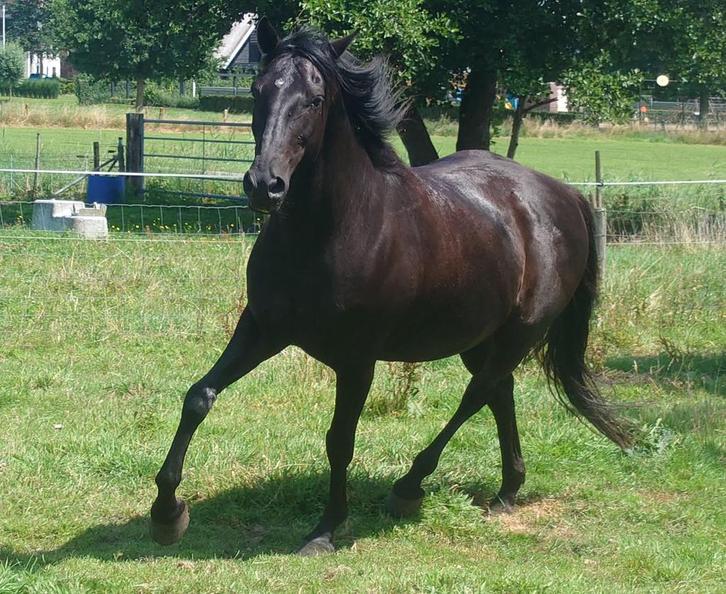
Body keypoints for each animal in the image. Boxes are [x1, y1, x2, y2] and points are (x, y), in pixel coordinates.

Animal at [149, 19, 632, 556]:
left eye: (315, 99)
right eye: (257, 90)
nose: (264, 186)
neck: (331, 231)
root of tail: (562, 195)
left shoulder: (357, 359)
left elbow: (340, 439)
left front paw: (325, 529)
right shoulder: (262, 329)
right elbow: (199, 396)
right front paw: (166, 513)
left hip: (520, 333)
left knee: (477, 394)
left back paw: (410, 486)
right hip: (477, 336)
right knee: (498, 393)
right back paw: (507, 489)